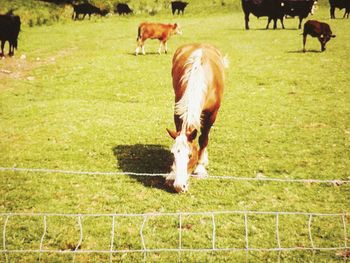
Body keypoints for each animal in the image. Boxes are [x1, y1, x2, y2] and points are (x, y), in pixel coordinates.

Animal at [165, 43, 226, 194]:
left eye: (190, 156)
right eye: (173, 154)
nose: (179, 186)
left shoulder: (211, 115)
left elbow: (203, 139)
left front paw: (200, 168)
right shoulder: (178, 110)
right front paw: (172, 174)